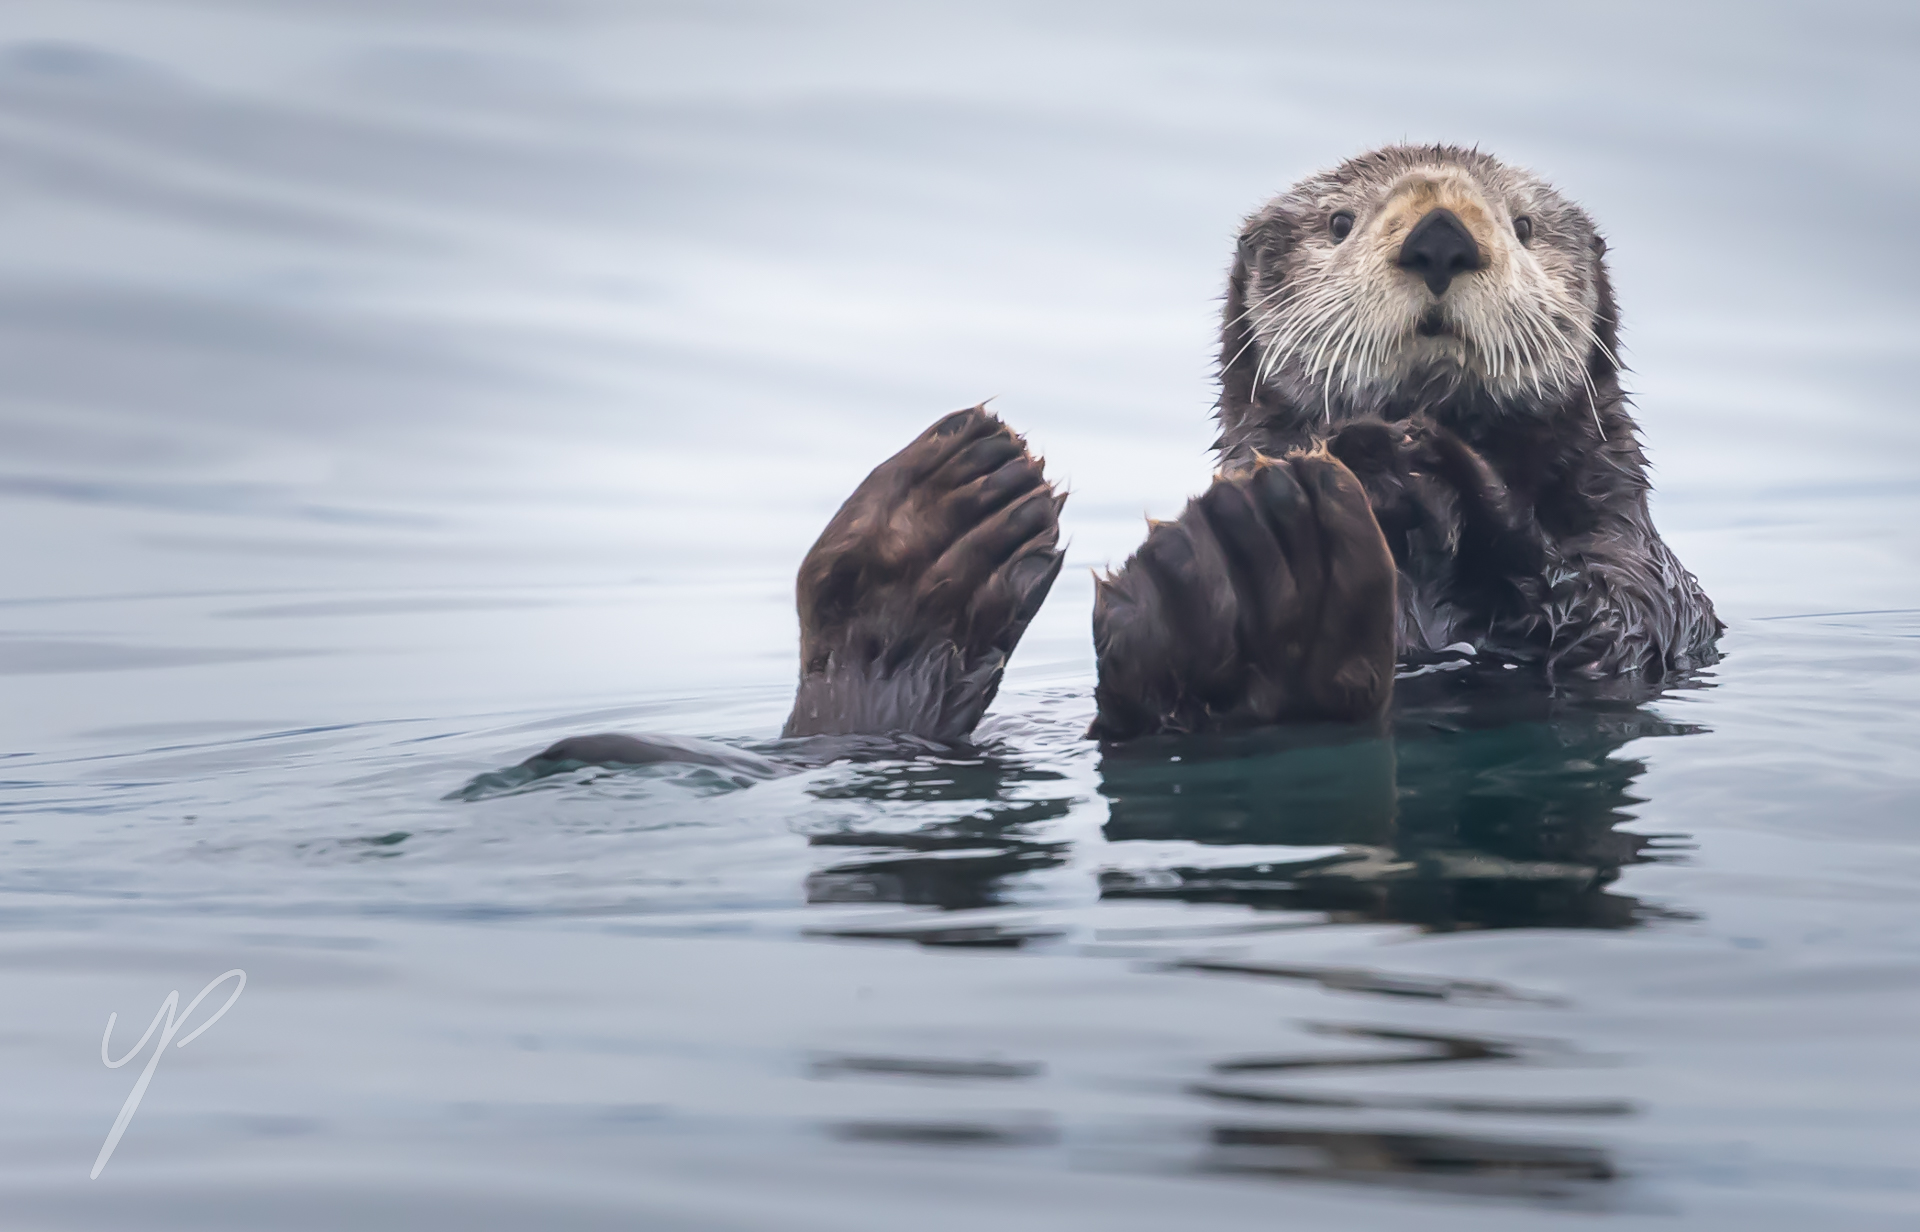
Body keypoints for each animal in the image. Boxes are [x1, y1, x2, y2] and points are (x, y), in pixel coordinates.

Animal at [533, 145, 1720, 767]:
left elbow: (1603, 618)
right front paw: (1391, 455)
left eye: (1523, 225)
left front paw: (1431, 462)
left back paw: (1265, 582)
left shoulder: (1642, 571)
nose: (1441, 235)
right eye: (1341, 221)